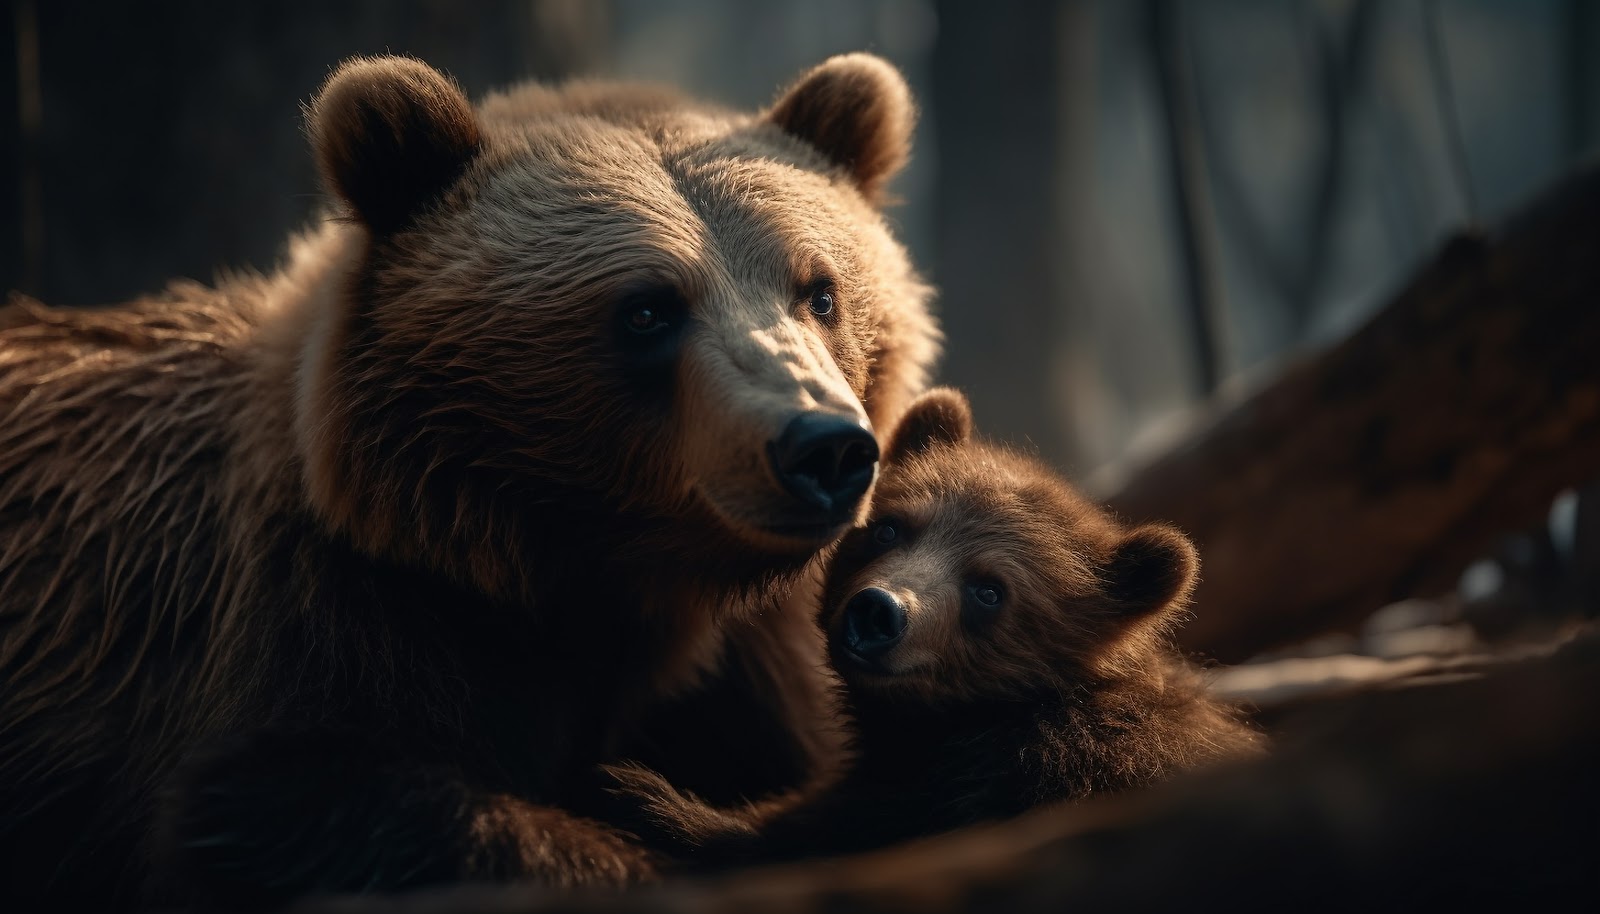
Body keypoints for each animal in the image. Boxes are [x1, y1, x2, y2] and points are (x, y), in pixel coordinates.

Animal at [0, 52, 939, 910]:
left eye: (819, 291)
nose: (823, 446)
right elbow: (293, 802)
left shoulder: (746, 673)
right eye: (646, 309)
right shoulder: (333, 622)